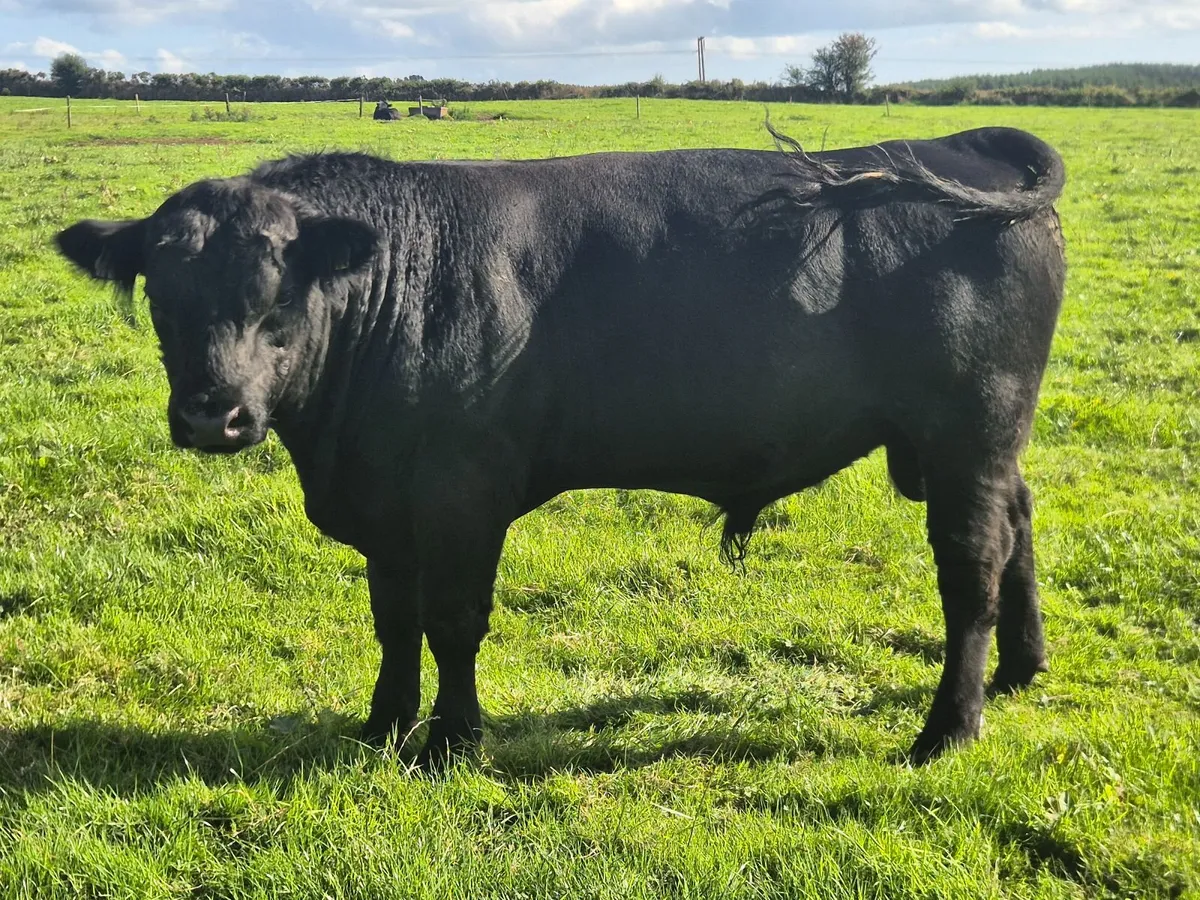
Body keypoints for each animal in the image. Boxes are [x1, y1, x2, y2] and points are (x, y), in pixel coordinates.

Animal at [54, 126, 1066, 769]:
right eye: (162, 293)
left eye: (278, 294)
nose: (212, 416)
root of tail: (960, 144)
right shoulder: (387, 504)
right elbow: (393, 619)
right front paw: (382, 727)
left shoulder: (462, 493)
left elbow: (453, 621)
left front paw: (452, 742)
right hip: (977, 447)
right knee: (1019, 522)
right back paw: (1024, 669)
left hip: (966, 435)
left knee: (971, 570)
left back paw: (949, 729)